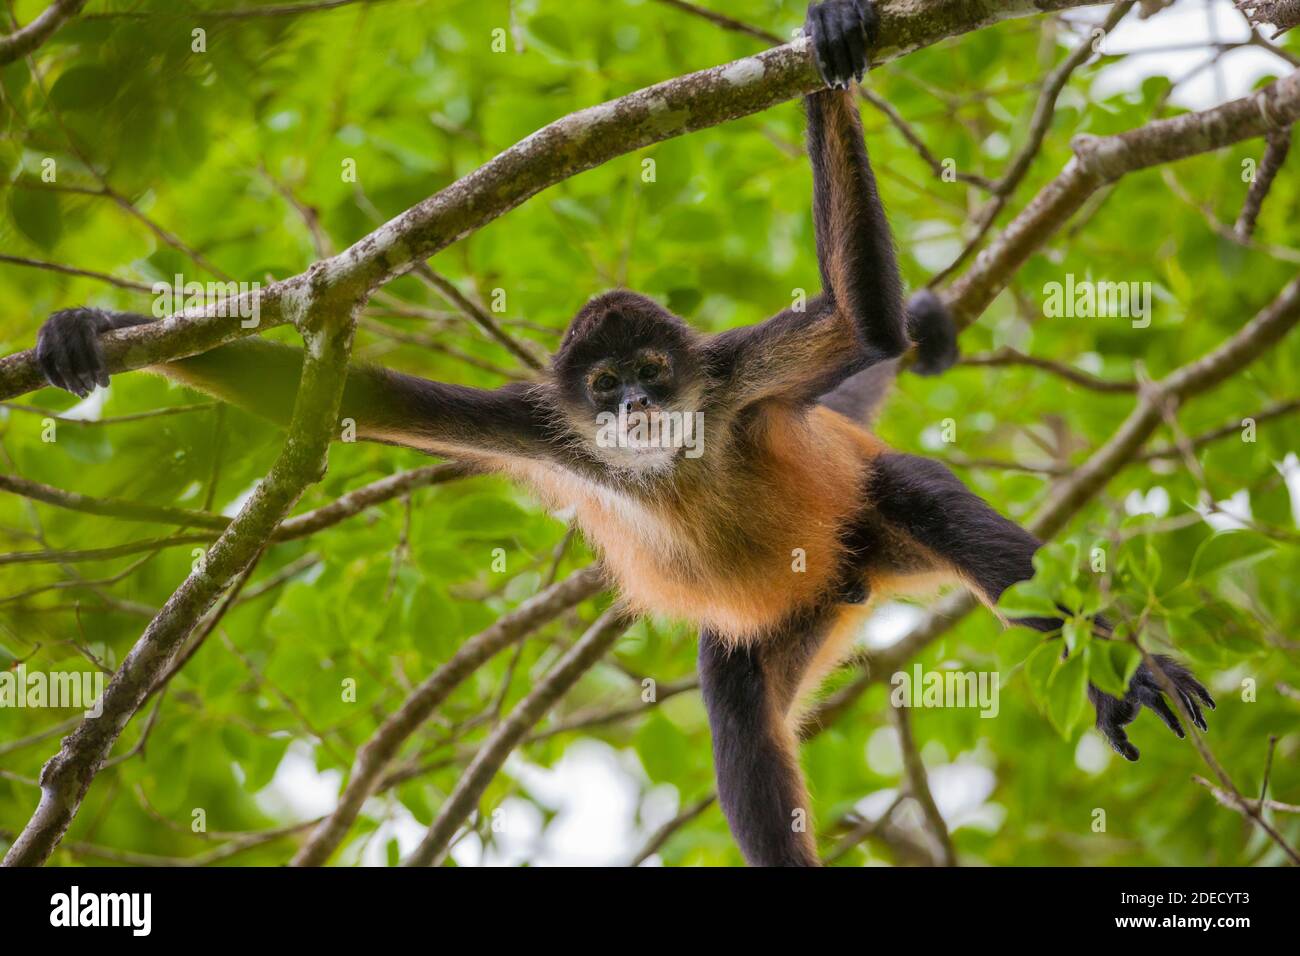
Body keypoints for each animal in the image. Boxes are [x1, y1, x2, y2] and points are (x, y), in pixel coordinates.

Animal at [30, 0, 1211, 868]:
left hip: (869, 521)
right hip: (788, 614)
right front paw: (87, 330)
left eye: (651, 375)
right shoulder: (545, 423)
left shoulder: (730, 376)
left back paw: (1132, 674)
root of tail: (852, 575)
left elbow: (864, 322)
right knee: (741, 725)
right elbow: (347, 394)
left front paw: (833, 39)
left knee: (931, 506)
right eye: (605, 389)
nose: (637, 409)